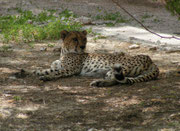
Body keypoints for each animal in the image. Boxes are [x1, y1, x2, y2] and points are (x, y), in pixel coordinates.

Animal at [15, 29, 159, 87]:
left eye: (84, 39)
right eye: (74, 39)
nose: (83, 46)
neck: (65, 52)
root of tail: (150, 59)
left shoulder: (71, 70)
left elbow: (56, 73)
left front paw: (46, 77)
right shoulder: (59, 66)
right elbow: (41, 70)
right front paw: (23, 72)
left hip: (116, 68)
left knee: (116, 79)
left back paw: (99, 82)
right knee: (119, 80)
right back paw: (100, 83)